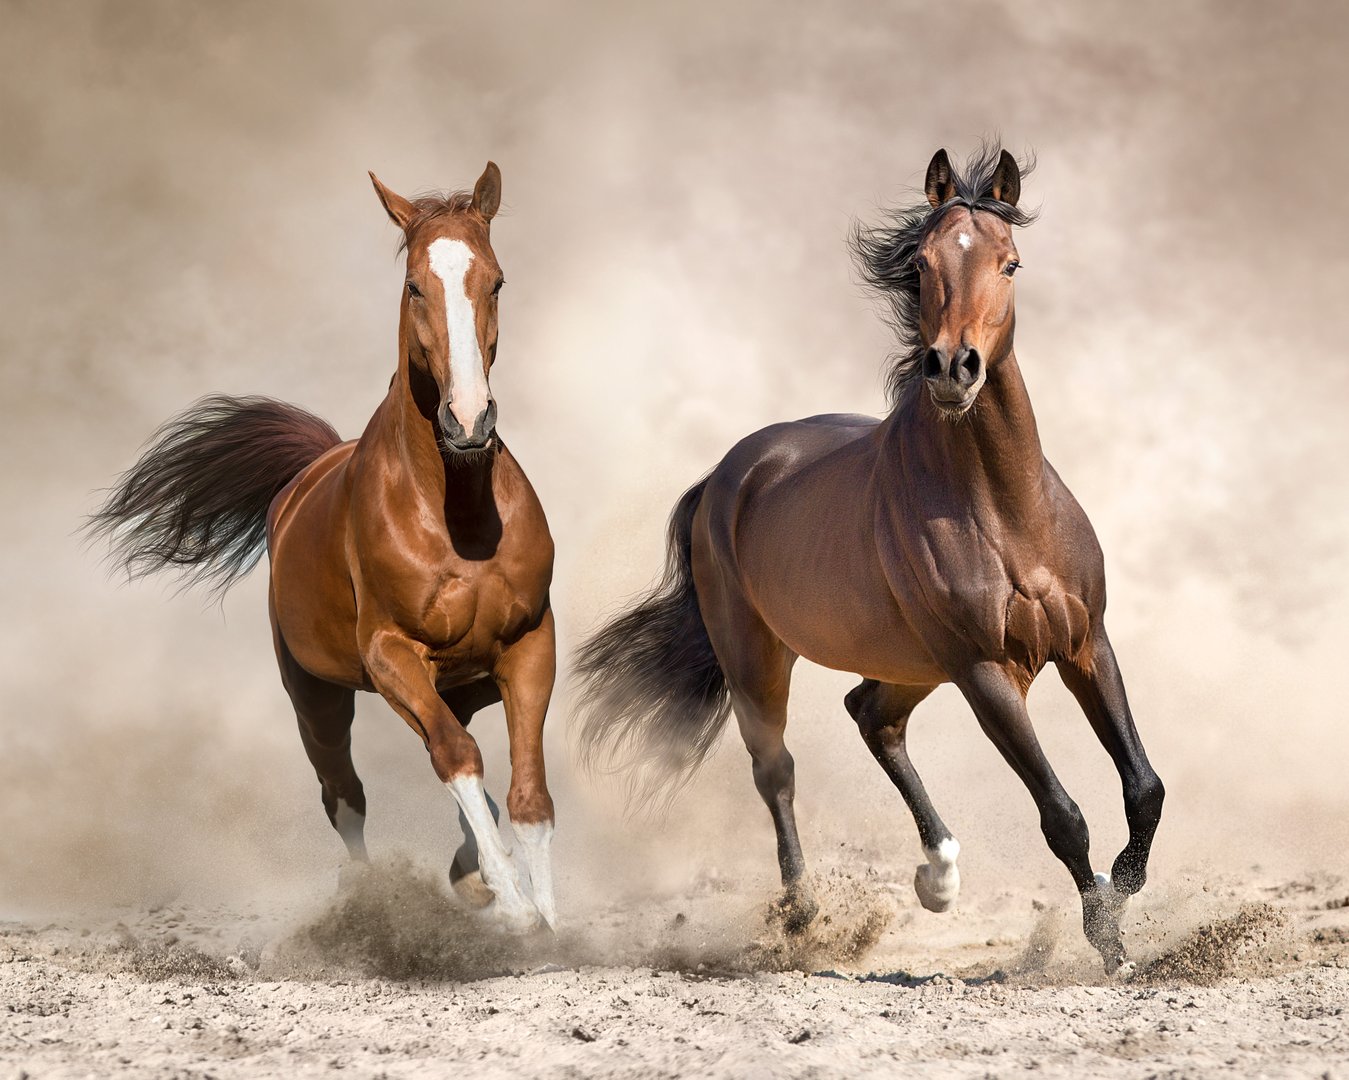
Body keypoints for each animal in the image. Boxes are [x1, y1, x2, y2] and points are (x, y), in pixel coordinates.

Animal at [88, 163, 557, 933]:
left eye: (496, 281)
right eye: (414, 286)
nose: (467, 420)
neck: (457, 515)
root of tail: (305, 472)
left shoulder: (528, 643)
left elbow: (529, 794)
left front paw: (545, 915)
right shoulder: (390, 653)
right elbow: (457, 758)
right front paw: (517, 909)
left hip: (458, 684)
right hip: (317, 698)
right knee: (348, 793)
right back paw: (374, 899)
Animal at [573, 146, 1163, 974]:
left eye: (1010, 263)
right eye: (919, 264)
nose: (952, 369)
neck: (1005, 509)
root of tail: (728, 473)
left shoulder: (1085, 644)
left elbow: (1142, 787)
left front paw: (1123, 889)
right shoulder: (986, 671)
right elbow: (1061, 814)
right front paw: (1108, 943)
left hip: (913, 664)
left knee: (870, 716)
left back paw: (937, 875)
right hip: (761, 661)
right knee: (777, 771)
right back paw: (802, 914)